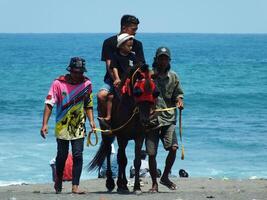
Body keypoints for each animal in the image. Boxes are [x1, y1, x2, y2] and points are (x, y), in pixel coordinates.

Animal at [88, 64, 159, 192]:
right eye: (137, 92)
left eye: (155, 93)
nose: (145, 120)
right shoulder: (121, 136)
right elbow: (123, 160)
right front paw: (123, 185)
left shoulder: (139, 137)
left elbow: (136, 161)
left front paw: (136, 187)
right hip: (107, 133)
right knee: (109, 153)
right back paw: (112, 182)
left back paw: (121, 183)